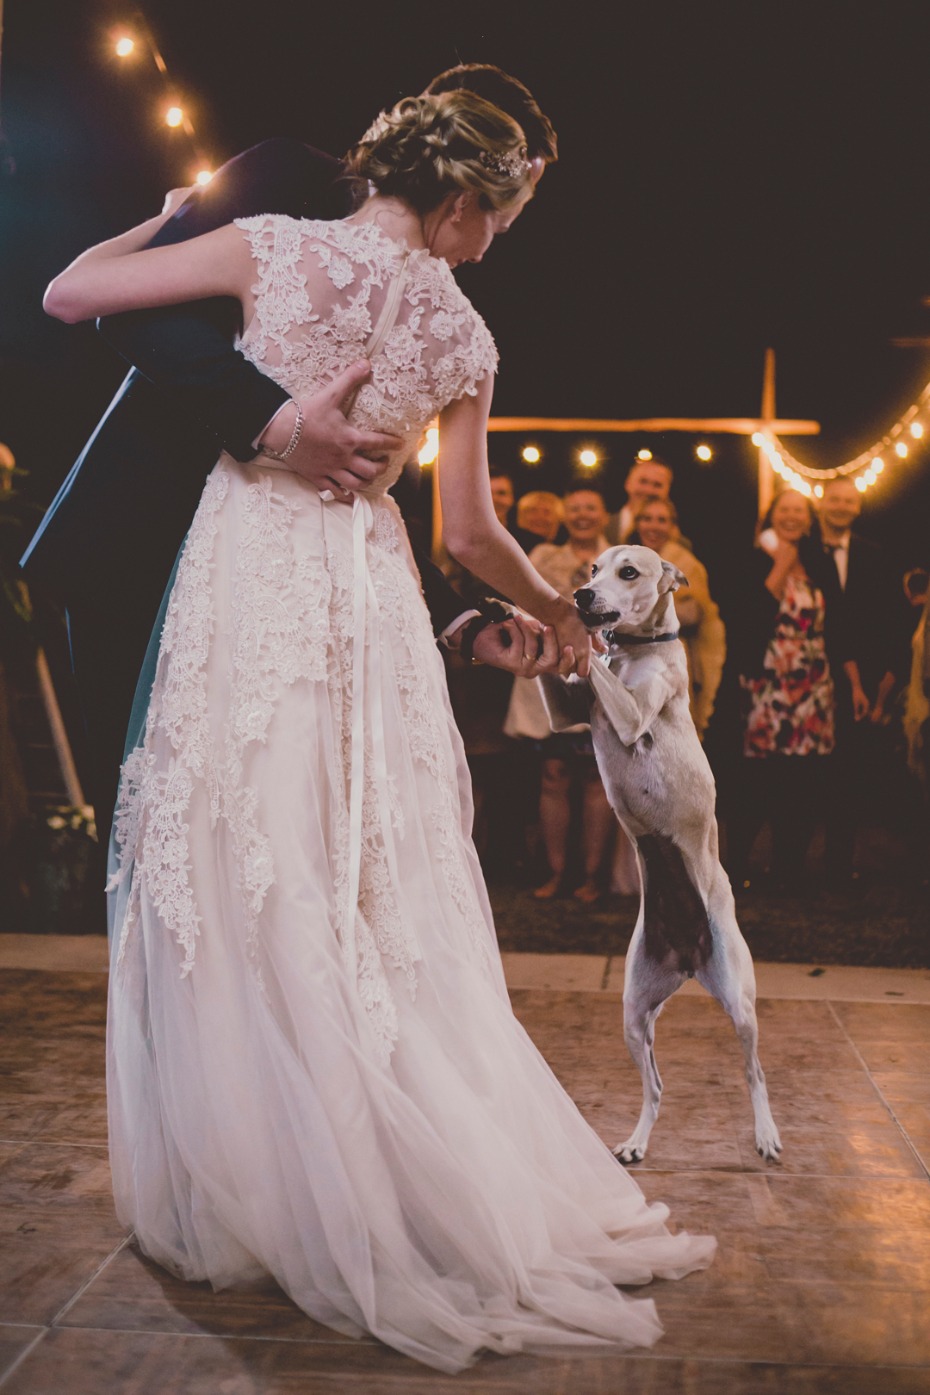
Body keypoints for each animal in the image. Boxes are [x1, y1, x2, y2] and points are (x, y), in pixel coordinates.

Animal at [540, 544, 780, 1166]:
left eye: (630, 572)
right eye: (594, 568)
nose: (580, 594)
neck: (634, 654)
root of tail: (688, 961)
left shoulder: (629, 714)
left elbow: (601, 675)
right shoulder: (565, 711)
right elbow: (566, 676)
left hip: (740, 1005)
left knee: (755, 1072)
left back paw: (766, 1135)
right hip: (633, 1014)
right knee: (656, 1086)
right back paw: (635, 1143)